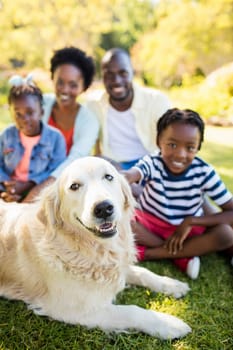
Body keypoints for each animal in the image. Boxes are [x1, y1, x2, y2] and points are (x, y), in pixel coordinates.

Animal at [0, 157, 191, 340]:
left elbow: (143, 272)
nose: (104, 208)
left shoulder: (115, 265)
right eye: (74, 186)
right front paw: (168, 324)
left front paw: (172, 284)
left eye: (108, 177)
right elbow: (132, 310)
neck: (91, 249)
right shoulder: (75, 309)